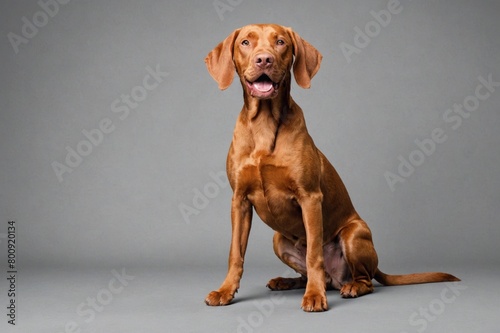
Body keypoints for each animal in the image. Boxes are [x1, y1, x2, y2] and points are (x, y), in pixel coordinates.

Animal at [202, 24, 458, 312]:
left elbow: (314, 254)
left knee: (363, 279)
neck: (264, 124)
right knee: (317, 275)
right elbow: (235, 253)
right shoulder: (240, 201)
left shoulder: (310, 198)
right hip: (278, 240)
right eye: (245, 42)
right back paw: (287, 281)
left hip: (354, 234)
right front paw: (225, 290)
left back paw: (350, 287)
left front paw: (314, 296)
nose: (264, 59)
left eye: (280, 42)